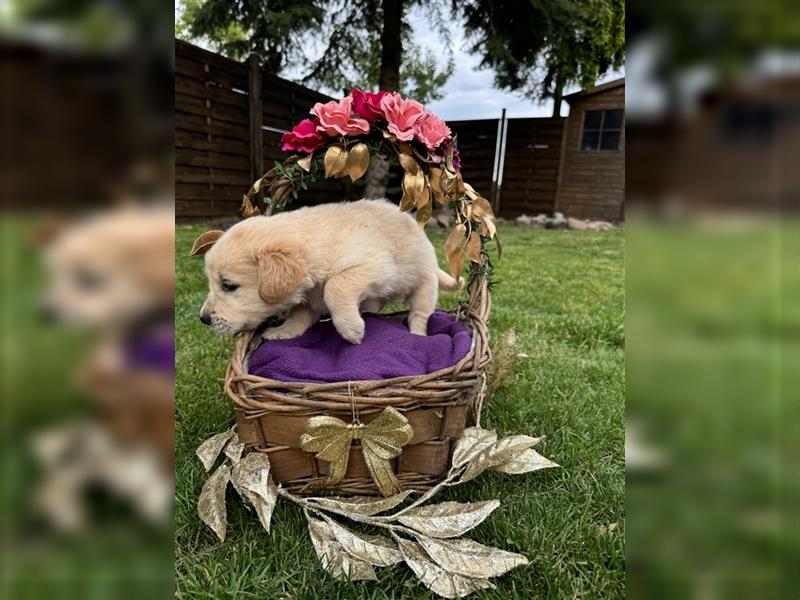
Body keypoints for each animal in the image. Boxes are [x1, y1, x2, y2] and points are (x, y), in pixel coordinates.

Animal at [193, 199, 462, 344]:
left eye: (228, 285)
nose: (203, 319)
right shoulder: (308, 297)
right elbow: (300, 315)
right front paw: (283, 331)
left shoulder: (377, 265)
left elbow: (336, 285)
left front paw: (351, 328)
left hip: (424, 284)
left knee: (419, 314)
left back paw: (418, 336)